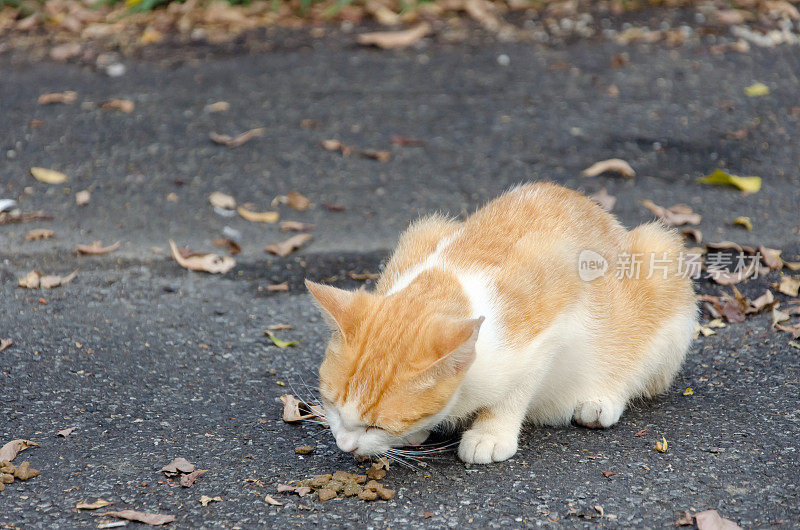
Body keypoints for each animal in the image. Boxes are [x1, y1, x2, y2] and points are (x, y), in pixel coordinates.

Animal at [310, 182, 696, 462]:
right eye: (331, 404)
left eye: (376, 425)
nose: (345, 445)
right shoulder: (422, 235)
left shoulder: (555, 322)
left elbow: (515, 389)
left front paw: (490, 433)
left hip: (660, 261)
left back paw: (601, 400)